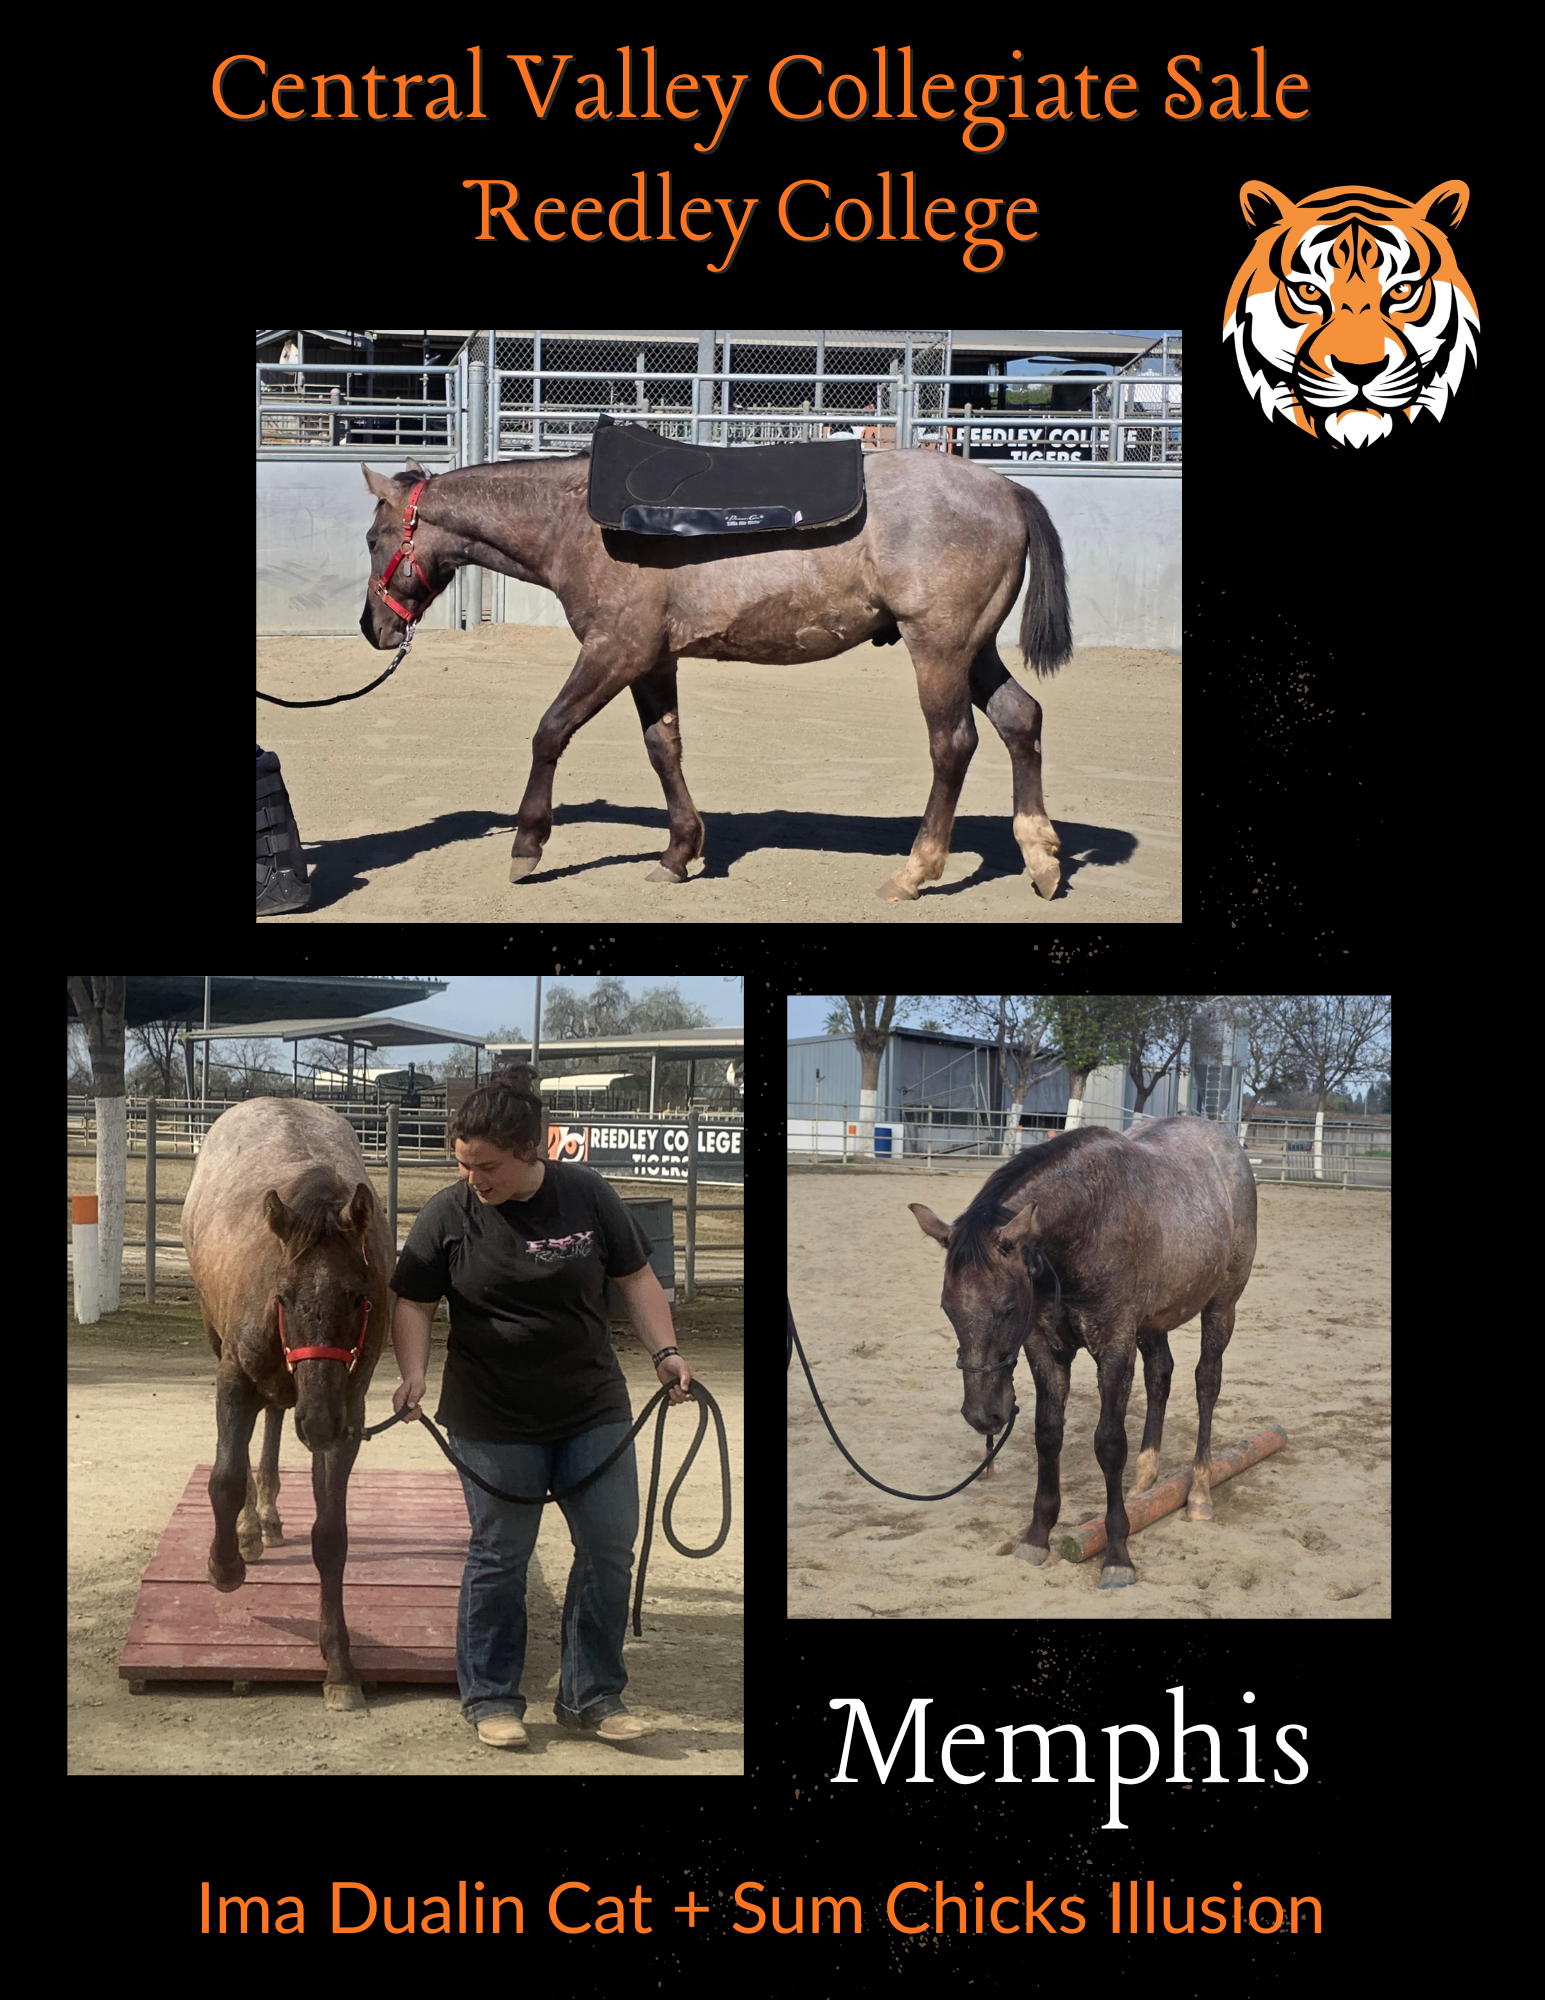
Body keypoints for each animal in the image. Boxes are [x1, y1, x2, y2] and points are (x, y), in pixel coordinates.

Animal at [182, 1098, 393, 1708]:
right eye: (285, 1296)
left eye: (357, 1297)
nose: (318, 1422)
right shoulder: (232, 1380)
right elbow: (224, 1479)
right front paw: (224, 1565)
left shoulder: (349, 1413)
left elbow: (331, 1536)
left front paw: (339, 1662)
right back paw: (250, 1529)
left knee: (276, 1417)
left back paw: (269, 1516)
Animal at [358, 447, 1073, 904]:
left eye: (372, 538)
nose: (373, 628)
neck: (574, 522)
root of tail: (1009, 491)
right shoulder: (652, 661)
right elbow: (663, 749)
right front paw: (678, 854)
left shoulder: (614, 652)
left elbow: (550, 732)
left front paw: (527, 846)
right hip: (974, 652)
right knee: (1021, 720)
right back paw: (1040, 858)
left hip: (939, 652)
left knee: (952, 745)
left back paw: (914, 872)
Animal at [907, 1117, 1258, 1588]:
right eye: (947, 1307)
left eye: (1008, 1307)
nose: (984, 1416)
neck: (1088, 1224)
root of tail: (1225, 1143)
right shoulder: (1046, 1348)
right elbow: (1047, 1434)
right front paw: (1037, 1536)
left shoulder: (1114, 1347)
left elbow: (1109, 1443)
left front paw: (1117, 1555)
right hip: (1153, 1321)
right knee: (1160, 1376)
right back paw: (1143, 1487)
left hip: (1222, 1304)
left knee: (1207, 1383)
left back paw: (1199, 1491)